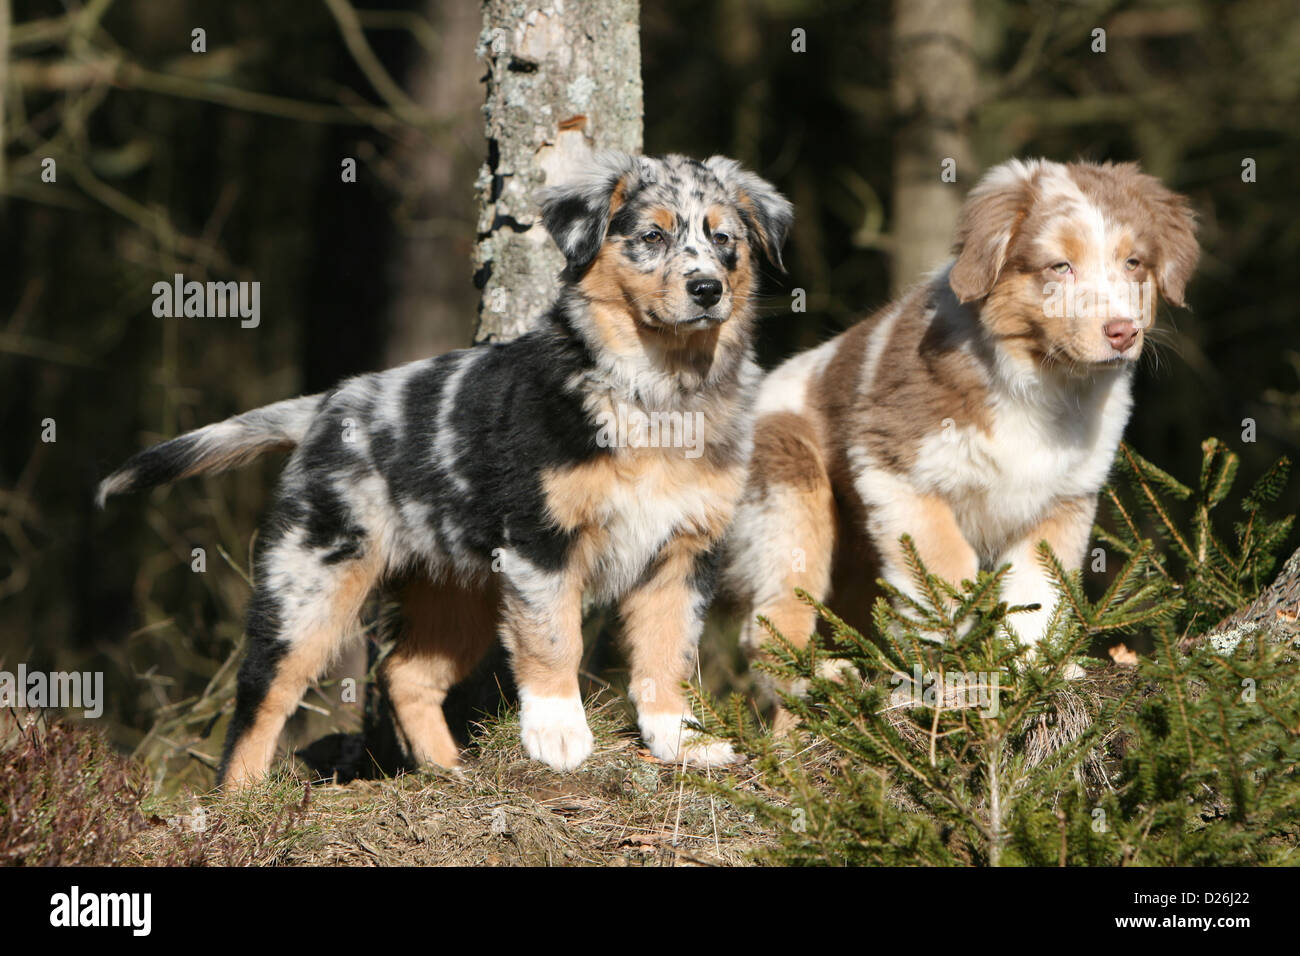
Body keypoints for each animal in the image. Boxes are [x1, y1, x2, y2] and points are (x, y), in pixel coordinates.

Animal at [98, 153, 790, 790]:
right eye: (651, 236)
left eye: (724, 239)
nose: (707, 289)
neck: (657, 392)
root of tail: (328, 403)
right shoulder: (541, 543)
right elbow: (554, 639)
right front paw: (559, 734)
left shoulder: (684, 550)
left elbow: (668, 652)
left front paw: (680, 738)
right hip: (313, 579)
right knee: (262, 693)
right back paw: (240, 800)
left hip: (457, 588)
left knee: (404, 672)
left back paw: (447, 771)